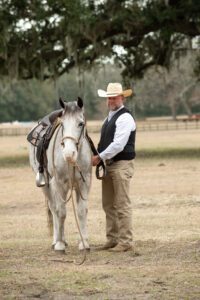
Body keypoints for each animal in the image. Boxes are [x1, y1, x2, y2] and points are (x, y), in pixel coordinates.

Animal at [28, 97, 92, 252]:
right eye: (62, 124)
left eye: (80, 123)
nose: (68, 154)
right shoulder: (59, 183)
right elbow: (61, 212)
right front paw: (59, 244)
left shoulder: (84, 183)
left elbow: (82, 211)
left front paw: (84, 243)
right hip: (47, 186)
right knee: (54, 208)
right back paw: (57, 240)